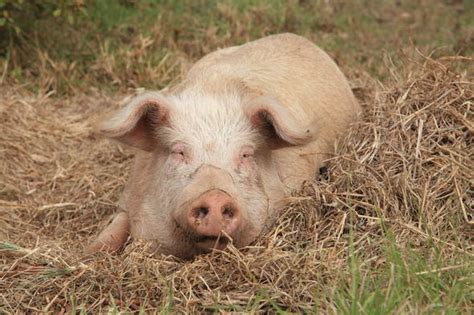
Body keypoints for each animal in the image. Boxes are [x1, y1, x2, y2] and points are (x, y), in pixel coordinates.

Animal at [87, 32, 362, 260]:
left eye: (246, 154)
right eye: (178, 151)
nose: (215, 195)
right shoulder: (130, 193)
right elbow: (114, 228)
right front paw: (88, 255)